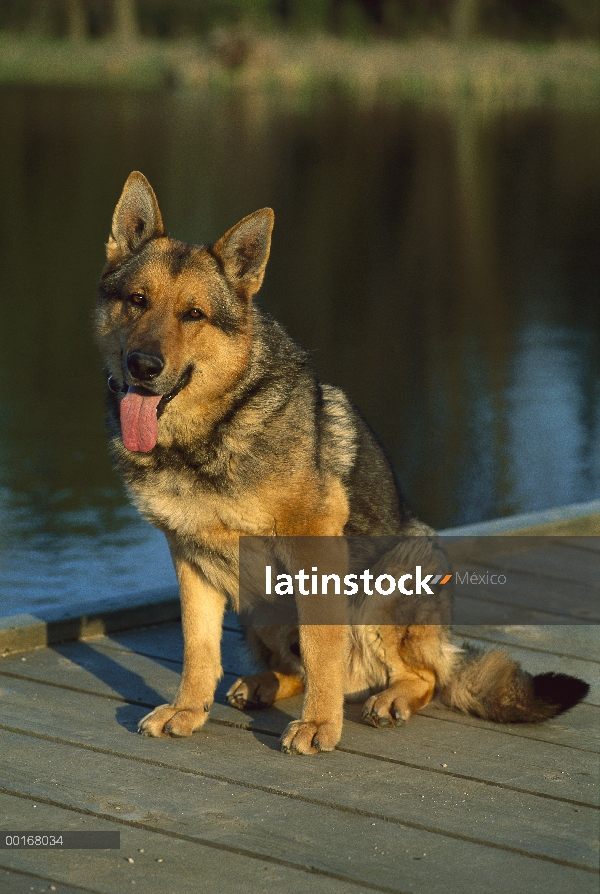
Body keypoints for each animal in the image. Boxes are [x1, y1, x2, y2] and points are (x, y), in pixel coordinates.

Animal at [95, 172, 592, 752]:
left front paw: (319, 725)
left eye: (193, 314)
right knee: (297, 667)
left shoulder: (313, 546)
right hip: (258, 606)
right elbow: (199, 650)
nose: (143, 366)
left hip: (396, 573)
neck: (211, 432)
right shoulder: (191, 559)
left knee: (424, 676)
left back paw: (389, 699)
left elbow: (321, 648)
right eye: (137, 300)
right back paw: (262, 684)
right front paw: (187, 710)